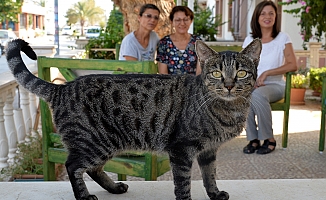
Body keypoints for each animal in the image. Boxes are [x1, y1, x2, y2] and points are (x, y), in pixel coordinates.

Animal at [6, 38, 262, 199]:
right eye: (216, 73)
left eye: (241, 72)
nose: (228, 85)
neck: (229, 108)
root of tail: (63, 88)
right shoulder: (181, 149)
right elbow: (183, 185)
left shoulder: (209, 150)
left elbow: (210, 175)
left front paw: (215, 194)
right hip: (93, 142)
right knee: (73, 166)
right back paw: (85, 197)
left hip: (104, 144)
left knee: (93, 169)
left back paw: (113, 188)